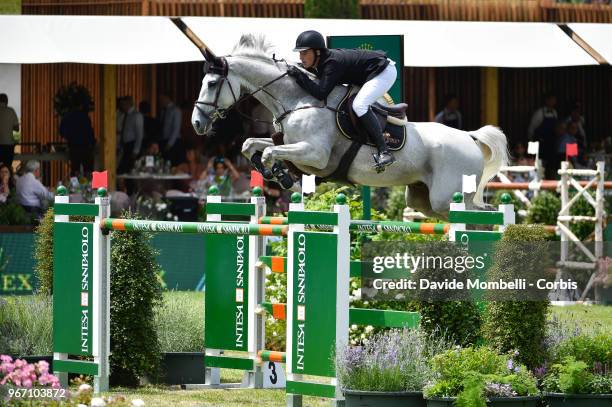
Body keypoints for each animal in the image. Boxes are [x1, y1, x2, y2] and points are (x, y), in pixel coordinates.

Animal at [194, 35, 510, 220]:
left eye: (212, 83)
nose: (197, 123)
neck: (299, 100)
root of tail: (469, 137)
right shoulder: (290, 144)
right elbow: (251, 145)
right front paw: (270, 170)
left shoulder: (315, 154)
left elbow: (273, 153)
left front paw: (284, 177)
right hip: (426, 200)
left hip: (447, 197)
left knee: (481, 215)